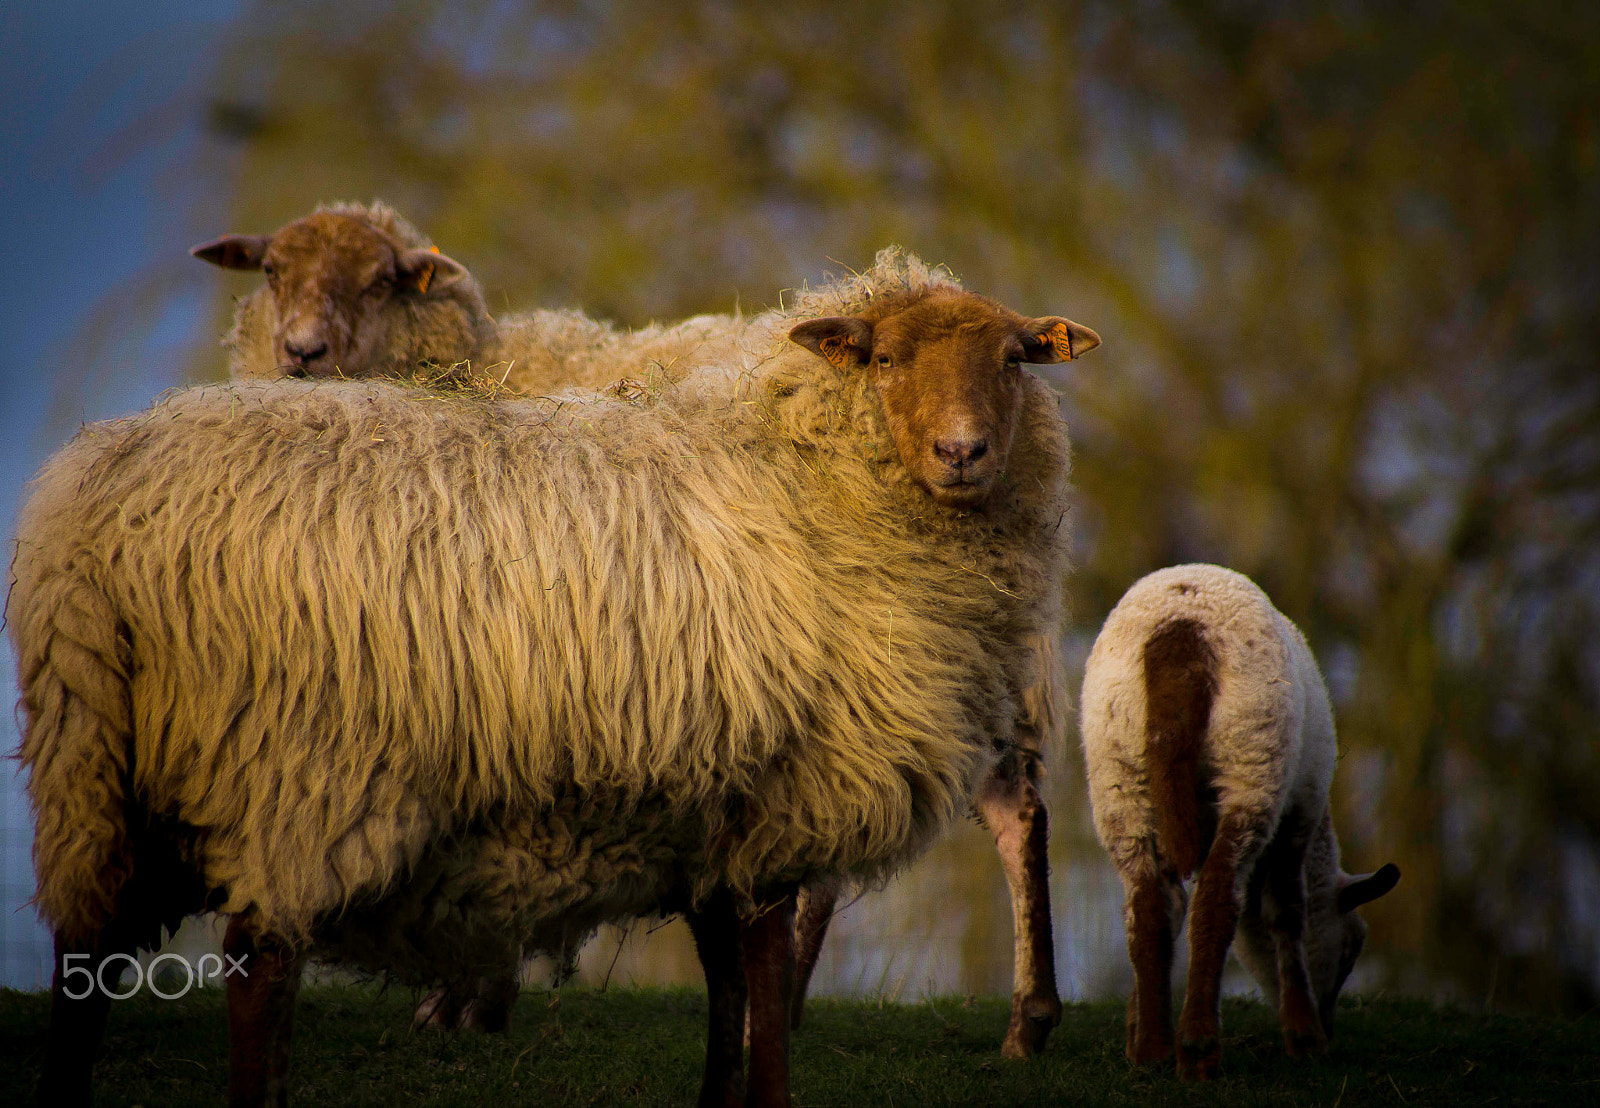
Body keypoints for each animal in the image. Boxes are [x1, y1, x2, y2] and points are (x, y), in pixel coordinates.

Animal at [12, 246, 1100, 1101]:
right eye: (881, 358)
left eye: (1013, 359)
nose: (963, 452)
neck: (794, 474)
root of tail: (88, 513)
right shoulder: (779, 802)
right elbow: (751, 971)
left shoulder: (715, 810)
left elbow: (727, 986)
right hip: (291, 770)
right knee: (255, 964)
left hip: (94, 764)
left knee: (85, 952)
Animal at [1075, 566, 1401, 1075]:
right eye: (1351, 949)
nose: (1329, 1025)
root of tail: (1180, 631)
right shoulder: (1300, 811)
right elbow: (1286, 911)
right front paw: (1304, 1034)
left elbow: (1170, 909)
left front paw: (1133, 1026)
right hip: (1252, 758)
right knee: (1216, 899)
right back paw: (1199, 1050)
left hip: (1118, 771)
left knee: (1147, 907)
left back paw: (1151, 1050)